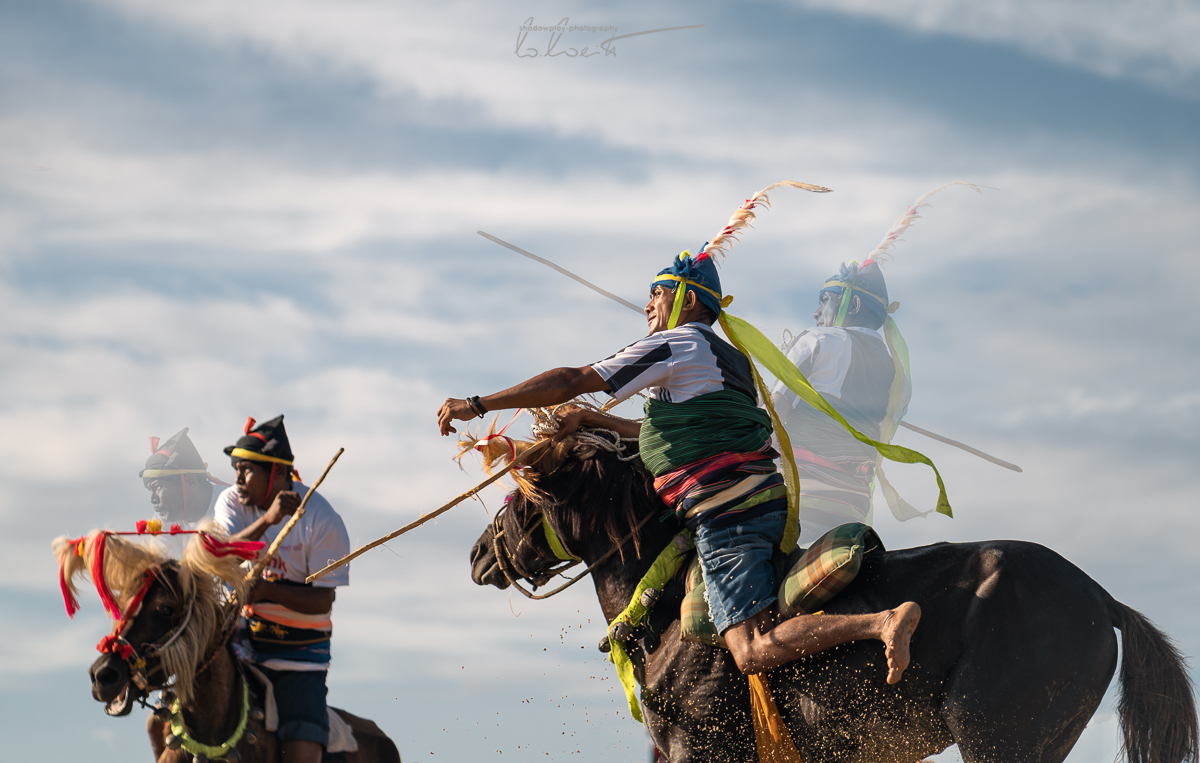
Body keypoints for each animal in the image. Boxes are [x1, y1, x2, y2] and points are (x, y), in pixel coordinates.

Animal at [468, 434, 1200, 763]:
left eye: (526, 486)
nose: (479, 552)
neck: (669, 605)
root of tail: (1102, 599)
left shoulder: (701, 747)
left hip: (999, 738)